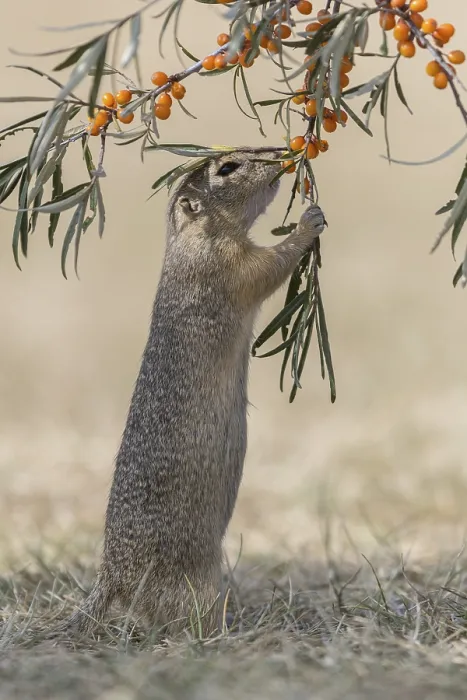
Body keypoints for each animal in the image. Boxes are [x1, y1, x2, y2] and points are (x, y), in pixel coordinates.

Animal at [58, 150, 326, 639]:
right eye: (227, 169)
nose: (280, 155)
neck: (192, 237)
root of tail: (112, 581)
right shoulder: (228, 265)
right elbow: (268, 266)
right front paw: (307, 220)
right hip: (197, 584)